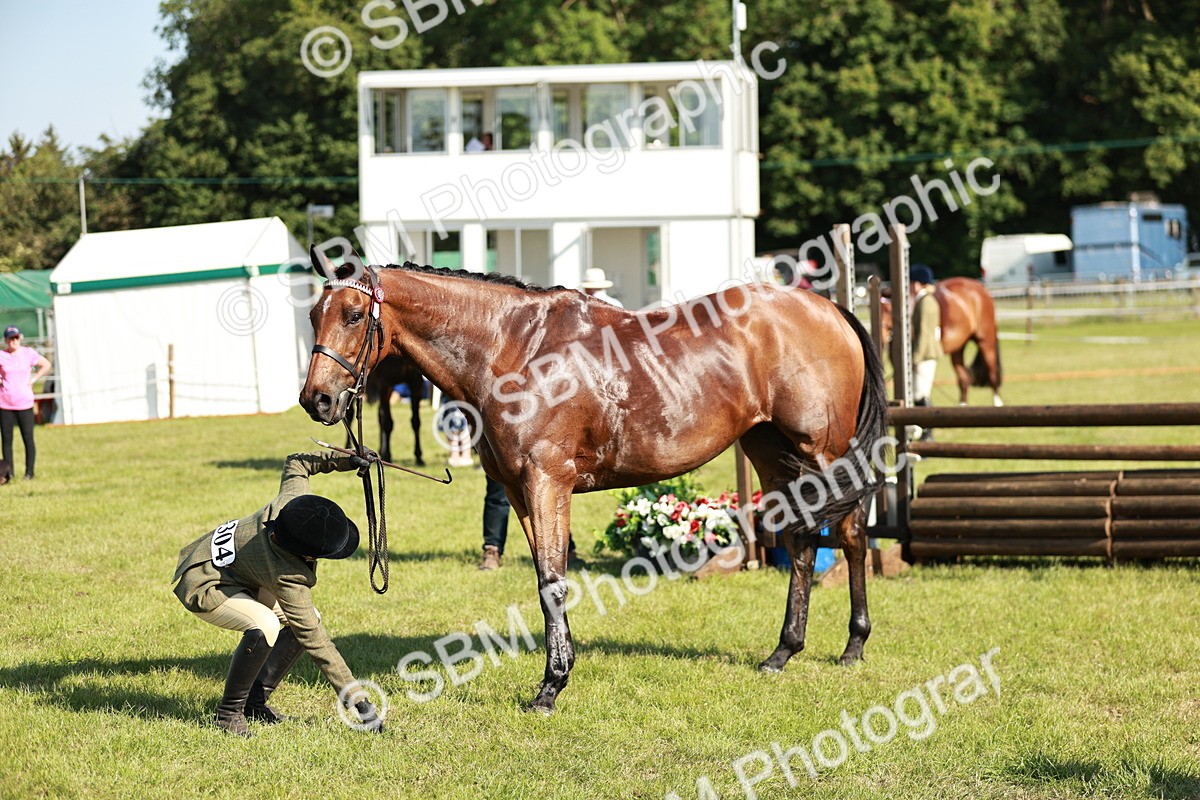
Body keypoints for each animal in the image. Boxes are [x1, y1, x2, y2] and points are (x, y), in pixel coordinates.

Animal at [299, 254, 889, 714]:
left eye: (354, 314)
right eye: (312, 315)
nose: (316, 399)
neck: (514, 348)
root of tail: (829, 308)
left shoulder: (546, 483)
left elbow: (553, 583)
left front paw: (550, 687)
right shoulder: (518, 491)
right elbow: (546, 581)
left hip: (824, 452)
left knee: (851, 534)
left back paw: (854, 644)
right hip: (770, 452)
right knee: (803, 538)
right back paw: (783, 652)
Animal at [880, 277, 1003, 406]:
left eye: (888, 310)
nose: (882, 338)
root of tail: (981, 288)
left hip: (985, 341)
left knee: (992, 376)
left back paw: (998, 404)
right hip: (958, 348)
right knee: (964, 379)